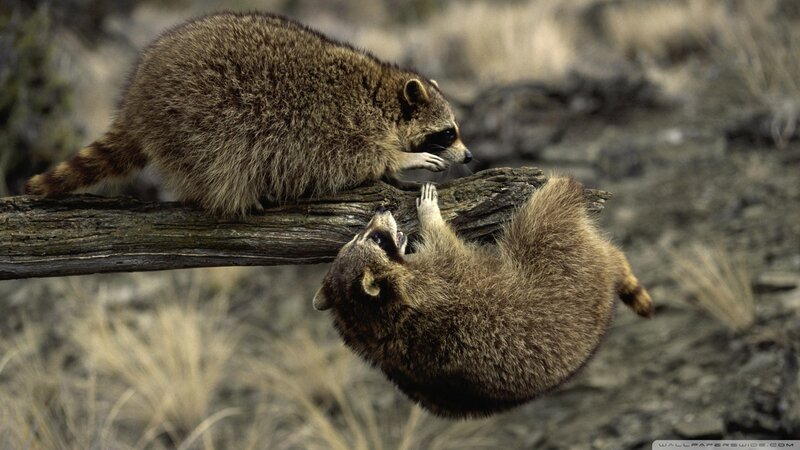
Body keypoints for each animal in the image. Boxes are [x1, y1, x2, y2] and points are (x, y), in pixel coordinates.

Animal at [25, 13, 471, 216]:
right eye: (448, 133)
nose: (468, 156)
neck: (381, 95)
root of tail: (137, 100)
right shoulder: (336, 125)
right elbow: (352, 158)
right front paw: (402, 159)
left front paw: (397, 173)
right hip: (195, 120)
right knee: (217, 161)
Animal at [313, 178, 653, 418]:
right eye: (377, 239)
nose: (381, 211)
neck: (368, 319)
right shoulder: (438, 278)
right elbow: (444, 243)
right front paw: (430, 216)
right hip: (566, 266)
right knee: (542, 220)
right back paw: (561, 189)